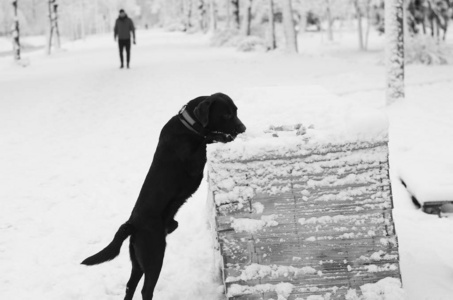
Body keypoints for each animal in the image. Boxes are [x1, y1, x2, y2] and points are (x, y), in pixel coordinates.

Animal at [80, 93, 244, 300]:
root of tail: (131, 223)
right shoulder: (194, 163)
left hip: (138, 260)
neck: (188, 125)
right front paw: (220, 136)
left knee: (130, 285)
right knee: (146, 289)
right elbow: (205, 140)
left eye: (236, 111)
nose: (243, 128)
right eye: (227, 114)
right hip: (154, 255)